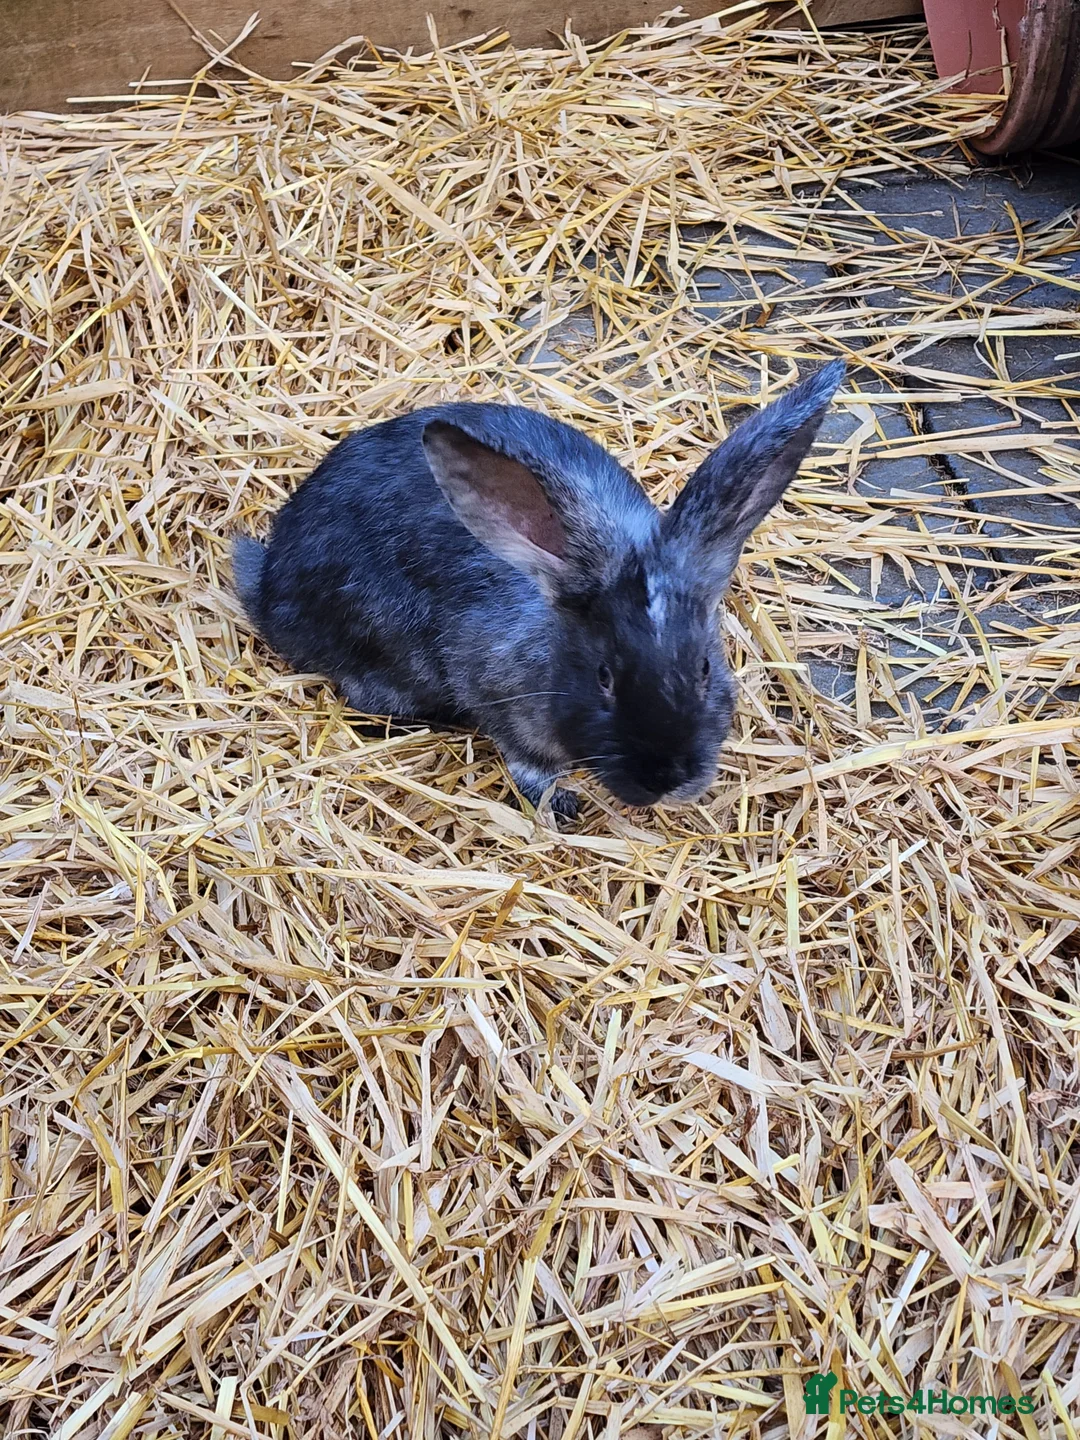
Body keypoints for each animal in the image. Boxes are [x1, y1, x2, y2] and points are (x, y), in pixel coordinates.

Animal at [232, 359, 844, 823]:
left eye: (704, 670)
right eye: (604, 678)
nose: (666, 780)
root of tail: (267, 582)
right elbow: (524, 757)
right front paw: (558, 800)